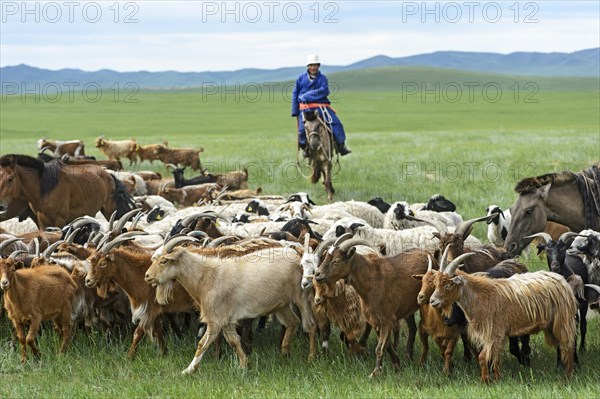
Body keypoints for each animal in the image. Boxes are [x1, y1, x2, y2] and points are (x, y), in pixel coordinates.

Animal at [0, 155, 134, 230]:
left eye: (10, 179)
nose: (1, 206)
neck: (45, 188)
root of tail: (108, 173)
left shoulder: (60, 220)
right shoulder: (41, 221)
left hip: (110, 212)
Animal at [144, 239, 318, 376]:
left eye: (164, 261)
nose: (147, 276)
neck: (207, 277)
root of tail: (297, 255)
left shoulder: (215, 320)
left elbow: (202, 344)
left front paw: (188, 370)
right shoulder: (226, 320)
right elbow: (234, 341)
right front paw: (244, 365)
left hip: (301, 296)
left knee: (309, 325)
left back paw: (311, 357)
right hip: (281, 304)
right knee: (292, 322)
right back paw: (284, 353)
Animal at [312, 236, 428, 380]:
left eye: (336, 260)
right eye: (326, 257)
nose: (317, 274)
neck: (372, 281)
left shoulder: (387, 320)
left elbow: (379, 348)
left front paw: (375, 372)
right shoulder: (376, 320)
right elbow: (386, 345)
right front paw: (396, 363)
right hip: (407, 309)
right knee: (412, 328)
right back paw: (408, 356)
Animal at [428, 256, 580, 382]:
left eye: (448, 284)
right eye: (436, 283)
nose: (432, 301)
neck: (482, 296)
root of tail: (563, 282)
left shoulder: (494, 332)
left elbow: (483, 357)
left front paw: (486, 381)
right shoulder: (496, 335)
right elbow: (495, 357)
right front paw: (497, 378)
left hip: (562, 320)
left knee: (568, 345)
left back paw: (568, 376)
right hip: (551, 324)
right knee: (562, 345)